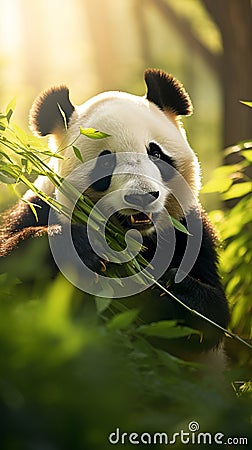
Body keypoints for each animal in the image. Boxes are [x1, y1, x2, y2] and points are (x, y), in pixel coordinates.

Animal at [0, 70, 228, 364]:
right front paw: (80, 248)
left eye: (155, 153)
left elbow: (213, 316)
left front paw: (170, 290)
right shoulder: (41, 207)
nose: (142, 196)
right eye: (106, 162)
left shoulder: (190, 232)